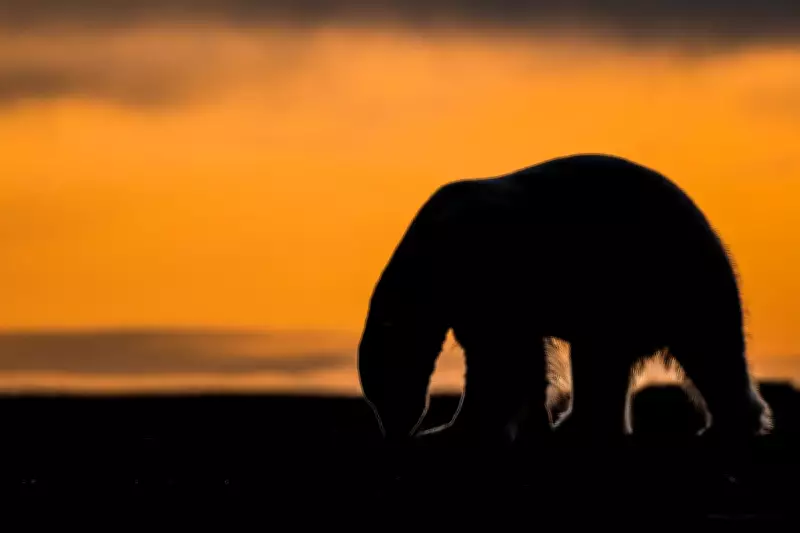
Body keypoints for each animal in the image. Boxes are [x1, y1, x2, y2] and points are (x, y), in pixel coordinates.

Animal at [357, 153, 772, 450]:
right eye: (374, 396)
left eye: (384, 388)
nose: (393, 433)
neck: (431, 256)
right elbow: (520, 358)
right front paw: (531, 424)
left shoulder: (487, 272)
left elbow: (500, 357)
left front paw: (455, 429)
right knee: (602, 359)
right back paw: (578, 426)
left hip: (669, 276)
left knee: (709, 347)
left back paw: (727, 428)